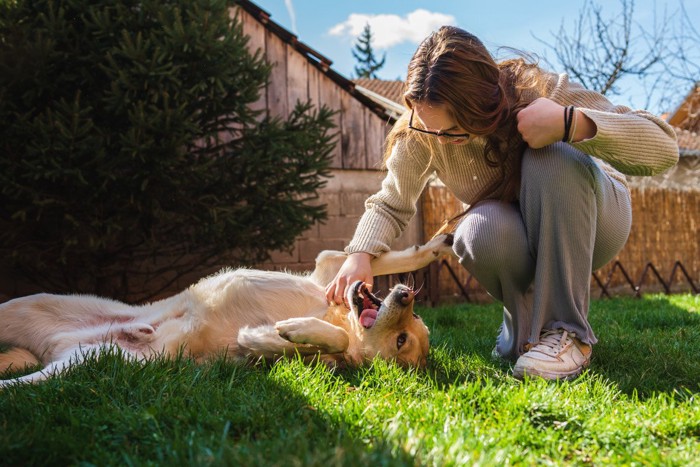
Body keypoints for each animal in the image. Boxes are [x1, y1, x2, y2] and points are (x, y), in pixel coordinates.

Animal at [0, 234, 454, 388]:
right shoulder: (326, 270)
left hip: (80, 368)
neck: (331, 313)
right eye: (414, 322)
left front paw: (284, 331)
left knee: (20, 387)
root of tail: (53, 348)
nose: (407, 297)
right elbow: (375, 258)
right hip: (21, 306)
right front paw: (433, 248)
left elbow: (332, 343)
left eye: (402, 339)